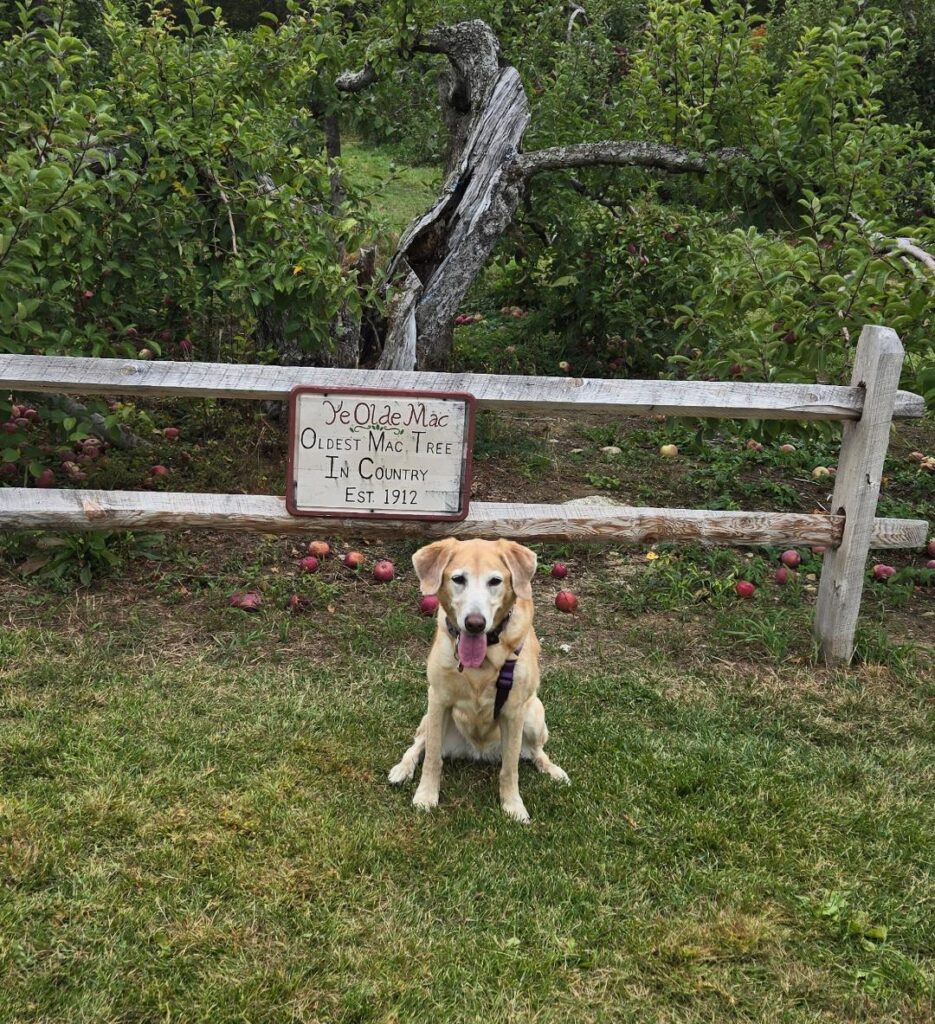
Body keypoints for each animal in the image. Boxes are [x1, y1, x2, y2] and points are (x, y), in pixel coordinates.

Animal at [389, 537, 569, 822]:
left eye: (495, 581)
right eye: (458, 579)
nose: (475, 623)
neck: (481, 664)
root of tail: (478, 752)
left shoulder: (514, 712)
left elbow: (510, 768)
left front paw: (513, 805)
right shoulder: (438, 700)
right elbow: (432, 759)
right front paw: (426, 796)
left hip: (534, 715)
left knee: (535, 751)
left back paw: (552, 770)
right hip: (429, 718)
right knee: (418, 744)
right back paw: (402, 769)